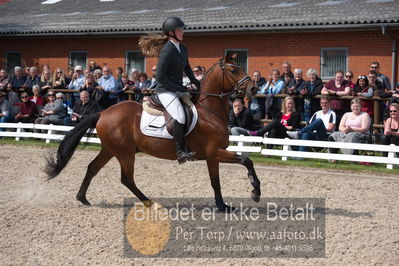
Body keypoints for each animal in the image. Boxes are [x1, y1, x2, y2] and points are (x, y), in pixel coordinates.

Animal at [45, 54, 260, 212]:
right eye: (233, 70)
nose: (254, 88)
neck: (210, 112)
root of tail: (103, 112)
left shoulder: (212, 156)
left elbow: (216, 181)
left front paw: (222, 206)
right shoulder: (214, 152)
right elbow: (246, 160)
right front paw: (255, 191)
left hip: (110, 149)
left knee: (92, 168)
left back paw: (83, 198)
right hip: (125, 153)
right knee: (126, 178)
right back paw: (149, 202)